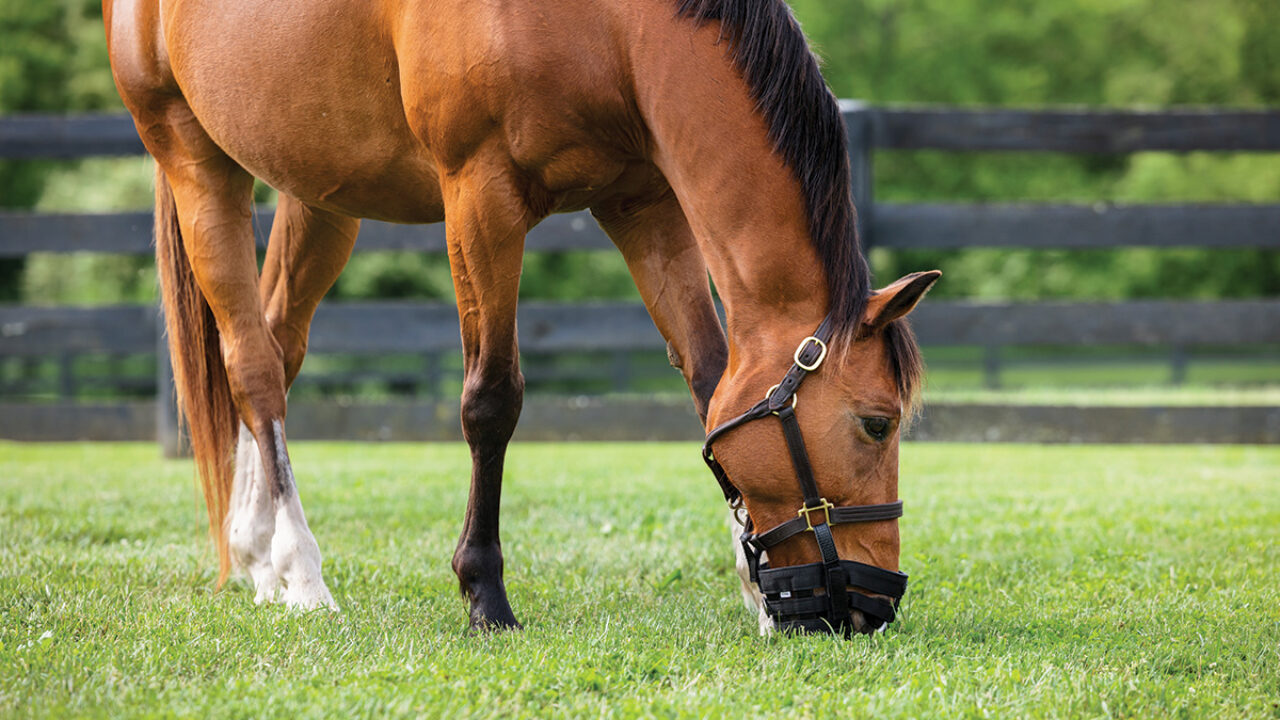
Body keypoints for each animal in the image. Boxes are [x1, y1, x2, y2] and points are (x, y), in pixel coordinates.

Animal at [104, 0, 939, 635]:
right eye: (877, 424)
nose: (875, 602)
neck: (610, 26)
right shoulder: (480, 199)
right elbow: (491, 400)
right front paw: (484, 595)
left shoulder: (643, 205)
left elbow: (710, 387)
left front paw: (756, 589)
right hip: (194, 161)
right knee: (250, 364)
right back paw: (303, 574)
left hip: (320, 193)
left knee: (278, 348)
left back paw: (260, 556)